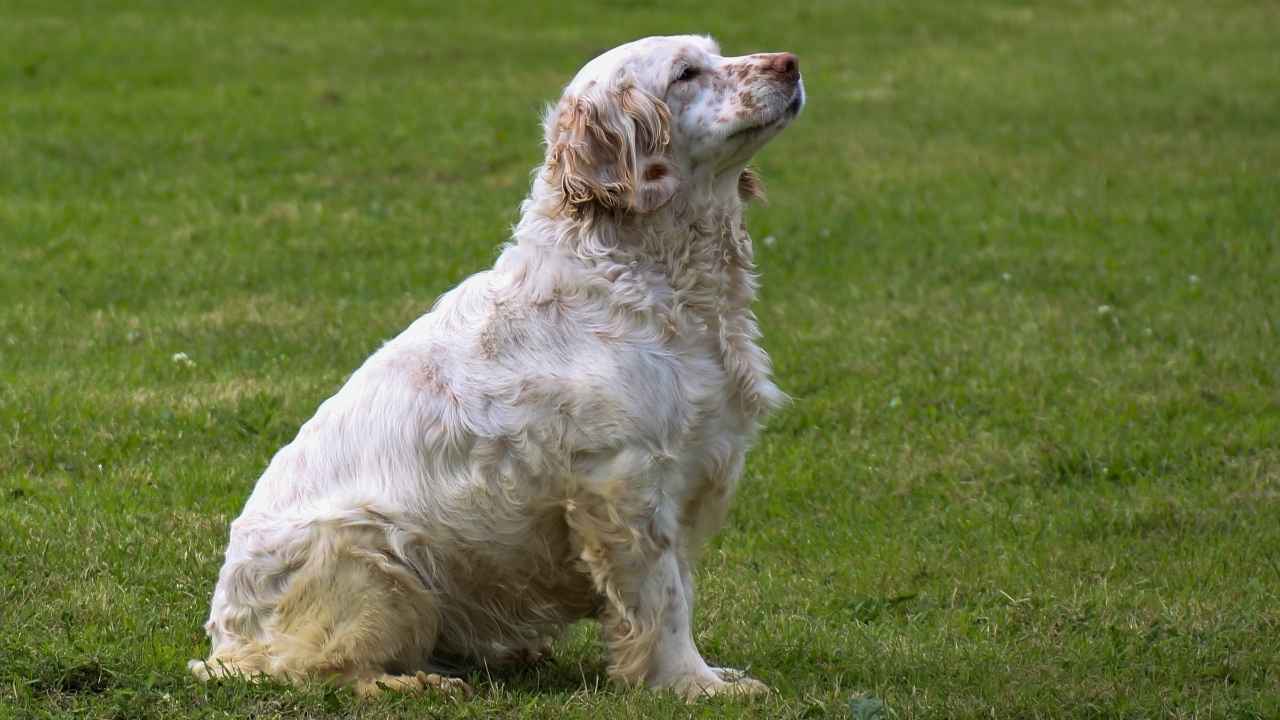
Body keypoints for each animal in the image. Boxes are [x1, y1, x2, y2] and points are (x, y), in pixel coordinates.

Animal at [188, 35, 798, 702]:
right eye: (686, 73)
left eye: (718, 52)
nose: (790, 64)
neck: (651, 272)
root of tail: (226, 640)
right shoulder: (627, 481)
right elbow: (662, 602)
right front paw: (691, 683)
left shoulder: (690, 468)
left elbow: (679, 588)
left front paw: (709, 673)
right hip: (375, 556)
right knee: (325, 669)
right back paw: (422, 682)